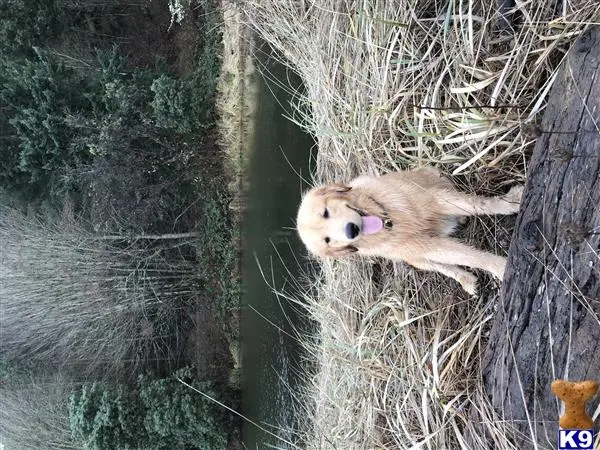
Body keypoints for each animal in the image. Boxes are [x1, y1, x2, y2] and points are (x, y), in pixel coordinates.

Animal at [298, 169, 524, 296]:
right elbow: (471, 257)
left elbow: (480, 205)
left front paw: (510, 202)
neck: (388, 220)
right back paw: (465, 279)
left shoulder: (436, 200)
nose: (351, 230)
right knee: (444, 266)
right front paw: (501, 268)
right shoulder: (425, 245)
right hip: (417, 259)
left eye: (325, 212)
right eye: (327, 240)